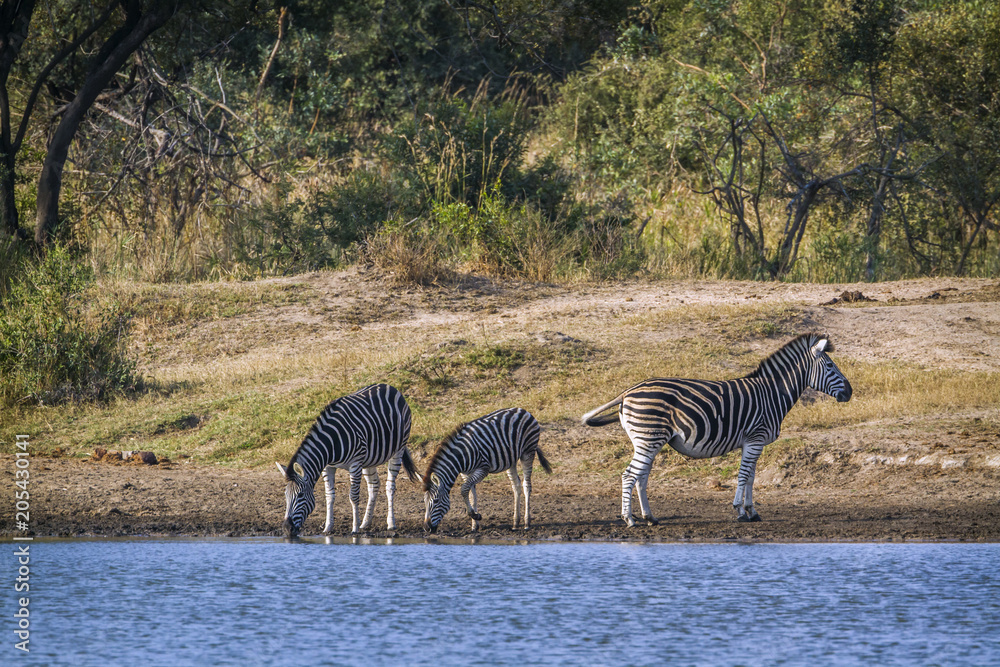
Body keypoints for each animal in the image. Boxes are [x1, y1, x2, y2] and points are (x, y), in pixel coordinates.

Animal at [276, 383, 417, 537]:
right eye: (285, 495)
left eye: (300, 495)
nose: (286, 529)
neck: (331, 443)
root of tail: (389, 386)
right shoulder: (328, 467)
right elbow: (329, 496)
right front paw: (328, 527)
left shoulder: (355, 464)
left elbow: (353, 497)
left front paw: (354, 529)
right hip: (370, 458)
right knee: (374, 485)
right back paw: (365, 523)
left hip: (398, 449)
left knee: (390, 486)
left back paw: (390, 523)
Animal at [423, 407, 552, 533]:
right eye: (424, 502)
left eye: (436, 501)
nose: (426, 528)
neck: (462, 455)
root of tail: (524, 410)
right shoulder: (466, 473)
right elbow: (471, 495)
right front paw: (474, 525)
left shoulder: (483, 469)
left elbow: (464, 489)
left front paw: (474, 515)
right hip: (510, 459)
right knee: (516, 486)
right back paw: (516, 523)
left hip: (528, 452)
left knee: (526, 485)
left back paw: (527, 523)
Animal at [581, 333, 852, 526]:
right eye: (830, 366)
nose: (850, 392)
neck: (773, 393)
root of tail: (627, 392)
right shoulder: (755, 438)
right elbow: (743, 476)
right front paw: (740, 511)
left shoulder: (753, 442)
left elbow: (751, 477)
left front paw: (752, 511)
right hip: (648, 439)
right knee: (629, 475)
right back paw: (629, 519)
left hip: (648, 440)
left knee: (641, 477)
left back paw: (650, 518)